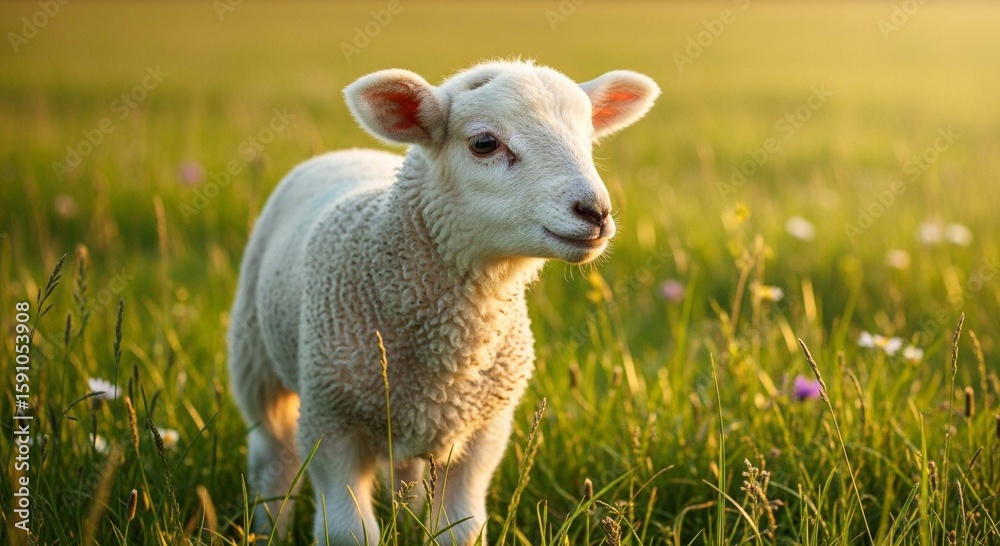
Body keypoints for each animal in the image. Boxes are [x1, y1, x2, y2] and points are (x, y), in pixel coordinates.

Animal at [227, 59, 659, 546]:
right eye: (484, 143)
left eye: (588, 139)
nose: (595, 212)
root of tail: (345, 153)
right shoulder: (330, 422)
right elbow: (348, 531)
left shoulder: (485, 432)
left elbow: (461, 528)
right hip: (254, 357)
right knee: (272, 456)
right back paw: (268, 527)